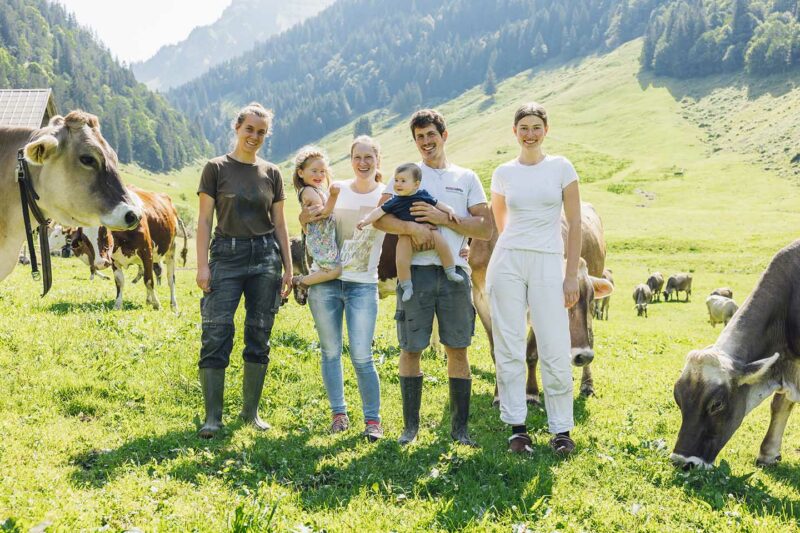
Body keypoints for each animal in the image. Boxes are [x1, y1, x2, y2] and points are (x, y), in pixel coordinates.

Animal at [468, 202, 612, 402]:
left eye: (591, 296)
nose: (584, 356)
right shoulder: (481, 299)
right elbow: (497, 351)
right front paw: (499, 396)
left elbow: (531, 353)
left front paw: (531, 393)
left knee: (589, 335)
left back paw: (587, 384)